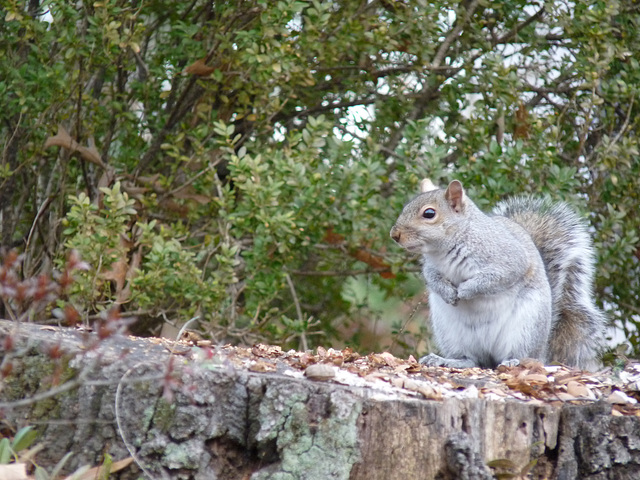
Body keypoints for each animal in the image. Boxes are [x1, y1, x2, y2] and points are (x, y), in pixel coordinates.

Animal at [390, 180, 604, 372]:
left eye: (429, 213)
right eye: (406, 207)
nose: (395, 235)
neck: (443, 250)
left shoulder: (507, 258)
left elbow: (496, 277)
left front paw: (466, 290)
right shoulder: (431, 267)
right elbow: (432, 278)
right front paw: (448, 293)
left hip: (525, 328)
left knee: (522, 356)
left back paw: (514, 362)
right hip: (450, 333)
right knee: (473, 360)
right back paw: (448, 361)